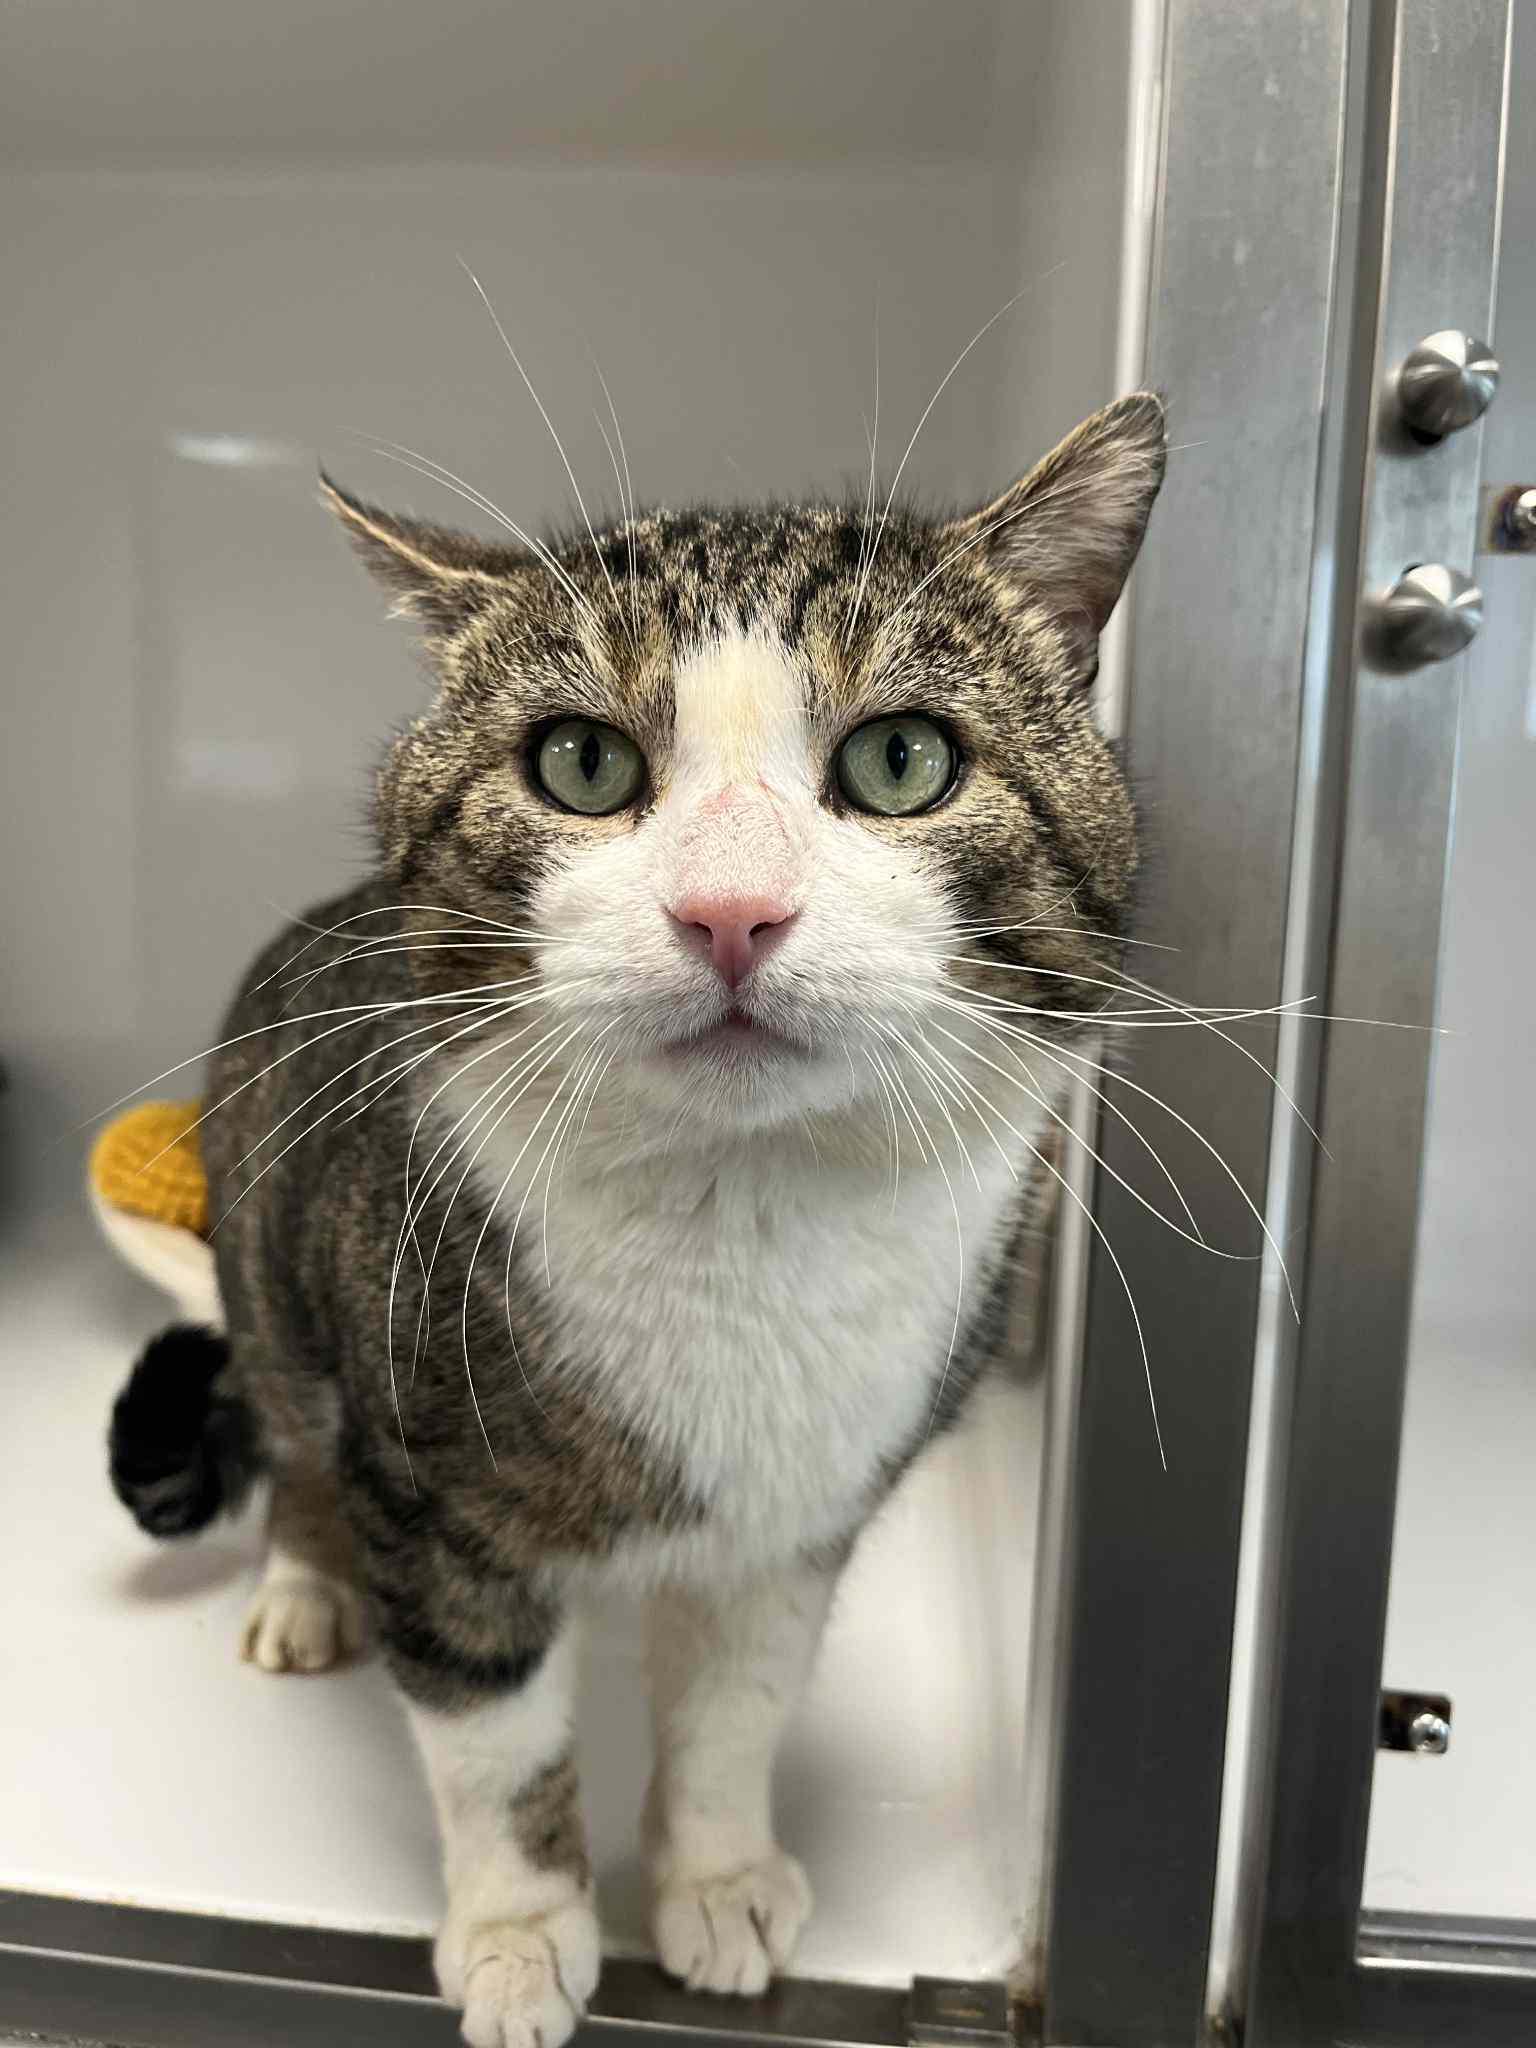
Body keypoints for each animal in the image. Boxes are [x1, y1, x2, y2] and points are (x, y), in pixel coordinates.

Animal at [107, 389, 1164, 2048]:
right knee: (295, 1439)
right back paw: (302, 1587)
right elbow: (489, 1733)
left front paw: (715, 1879)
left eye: (905, 758)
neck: (744, 1227)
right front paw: (522, 1930)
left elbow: (739, 1701)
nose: (731, 909)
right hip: (283, 1282)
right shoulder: (432, 1493)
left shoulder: (807, 1512)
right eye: (583, 763)